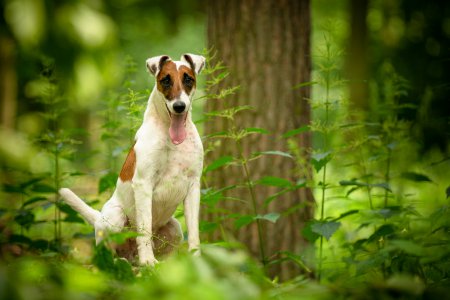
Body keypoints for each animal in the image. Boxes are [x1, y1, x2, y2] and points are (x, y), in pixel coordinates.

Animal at [59, 54, 206, 264]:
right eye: (166, 80)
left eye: (188, 79)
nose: (179, 106)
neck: (171, 137)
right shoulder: (144, 184)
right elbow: (144, 229)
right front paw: (148, 261)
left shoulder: (193, 186)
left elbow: (194, 233)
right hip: (115, 218)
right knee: (106, 254)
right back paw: (121, 262)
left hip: (175, 228)